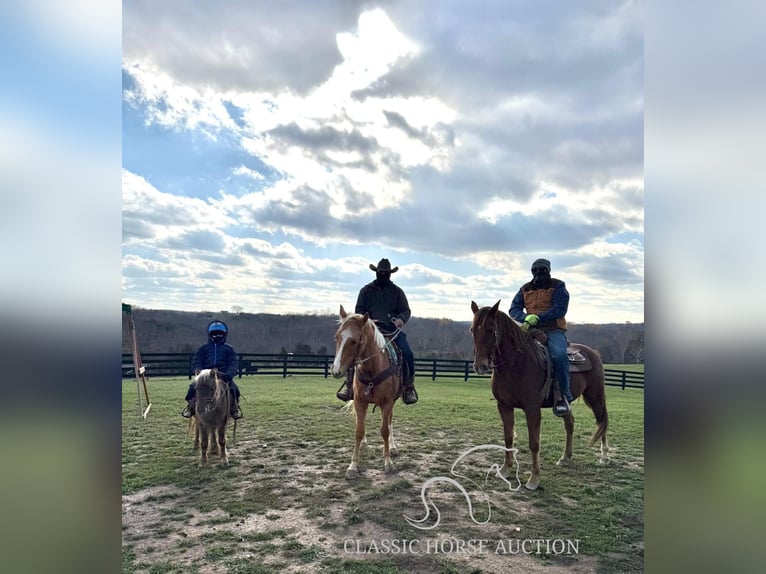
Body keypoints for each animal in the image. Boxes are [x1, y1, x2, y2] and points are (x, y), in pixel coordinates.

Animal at [332, 306, 404, 482]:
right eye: (337, 337)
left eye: (353, 341)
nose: (336, 370)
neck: (372, 369)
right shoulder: (359, 401)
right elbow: (358, 431)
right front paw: (352, 466)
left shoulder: (387, 402)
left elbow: (384, 430)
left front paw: (388, 462)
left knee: (389, 422)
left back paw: (393, 447)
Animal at [472, 302, 608, 490]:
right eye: (472, 330)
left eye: (491, 330)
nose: (480, 366)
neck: (517, 364)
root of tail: (593, 353)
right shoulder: (504, 406)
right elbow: (508, 438)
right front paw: (506, 469)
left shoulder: (532, 409)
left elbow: (534, 443)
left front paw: (534, 478)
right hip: (565, 403)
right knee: (570, 424)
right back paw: (565, 457)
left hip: (595, 397)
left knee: (601, 422)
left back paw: (604, 456)